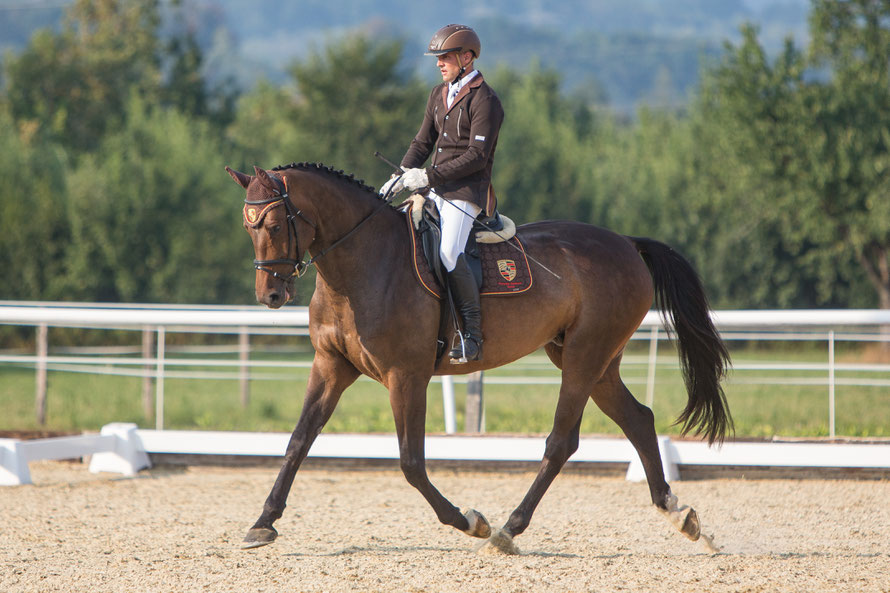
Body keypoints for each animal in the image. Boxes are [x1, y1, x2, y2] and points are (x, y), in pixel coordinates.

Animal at [224, 161, 728, 552]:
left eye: (273, 225)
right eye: (248, 226)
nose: (270, 295)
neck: (361, 265)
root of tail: (625, 242)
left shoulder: (406, 376)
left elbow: (411, 463)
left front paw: (470, 522)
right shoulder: (330, 367)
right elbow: (298, 441)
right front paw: (262, 524)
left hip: (586, 356)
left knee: (561, 442)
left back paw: (507, 531)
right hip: (592, 361)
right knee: (639, 419)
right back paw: (680, 515)